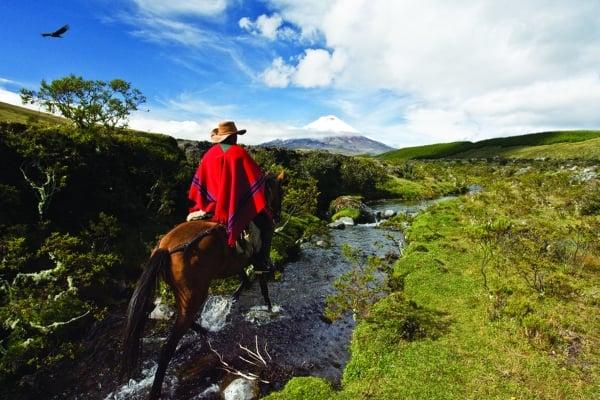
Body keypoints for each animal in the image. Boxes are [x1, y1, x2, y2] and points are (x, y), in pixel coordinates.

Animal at [121, 173, 284, 400]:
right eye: (281, 192)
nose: (276, 216)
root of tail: (165, 248)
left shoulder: (236, 263)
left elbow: (244, 280)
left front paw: (231, 302)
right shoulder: (259, 260)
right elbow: (263, 288)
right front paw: (270, 310)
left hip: (184, 293)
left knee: (181, 319)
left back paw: (206, 330)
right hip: (195, 293)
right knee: (169, 344)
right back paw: (156, 389)